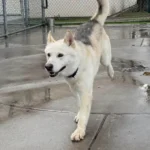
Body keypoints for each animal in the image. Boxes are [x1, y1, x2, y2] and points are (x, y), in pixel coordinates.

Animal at [44, 0, 113, 141]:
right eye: (48, 55)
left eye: (60, 55)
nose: (48, 66)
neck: (76, 70)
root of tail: (93, 22)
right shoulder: (75, 90)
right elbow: (80, 105)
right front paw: (79, 114)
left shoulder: (85, 92)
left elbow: (84, 112)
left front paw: (80, 130)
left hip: (104, 58)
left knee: (108, 64)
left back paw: (111, 73)